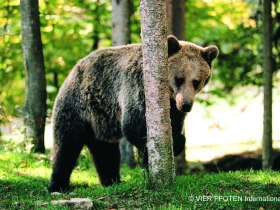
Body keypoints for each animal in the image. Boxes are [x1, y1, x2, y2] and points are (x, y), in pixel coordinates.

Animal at [48, 35, 219, 192]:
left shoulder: (173, 108)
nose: (186, 104)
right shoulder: (137, 87)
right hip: (78, 105)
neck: (167, 95)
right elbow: (133, 125)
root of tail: (74, 69)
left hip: (101, 120)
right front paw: (148, 155)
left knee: (105, 152)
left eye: (196, 81)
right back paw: (57, 185)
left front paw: (176, 141)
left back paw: (112, 181)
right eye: (179, 79)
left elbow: (175, 127)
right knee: (66, 146)